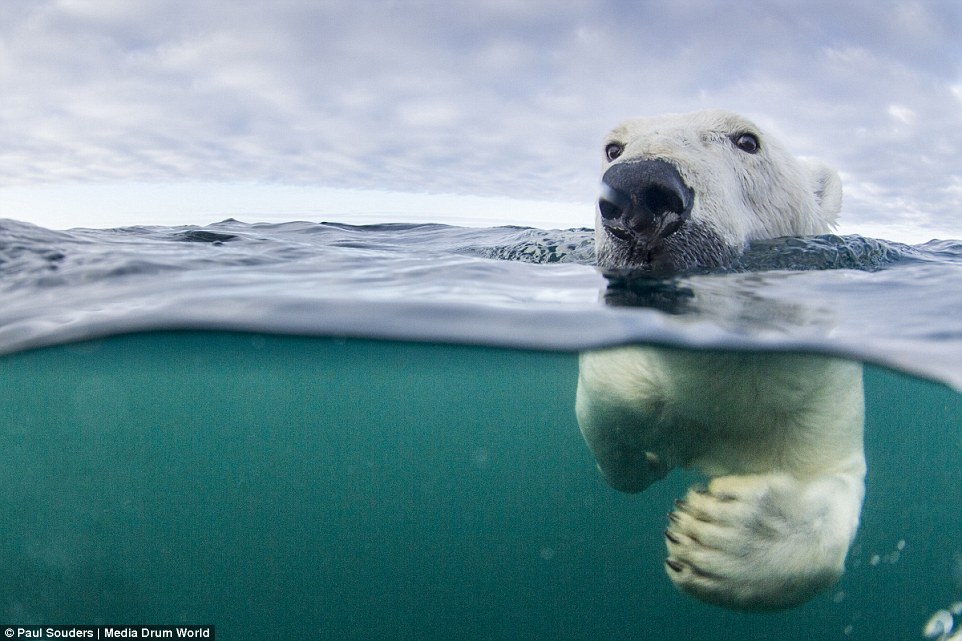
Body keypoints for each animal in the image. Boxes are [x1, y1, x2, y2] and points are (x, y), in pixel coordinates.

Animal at [572, 110, 868, 608]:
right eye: (613, 148)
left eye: (747, 140)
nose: (638, 189)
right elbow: (607, 406)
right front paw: (646, 457)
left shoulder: (819, 387)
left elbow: (831, 477)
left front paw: (717, 535)